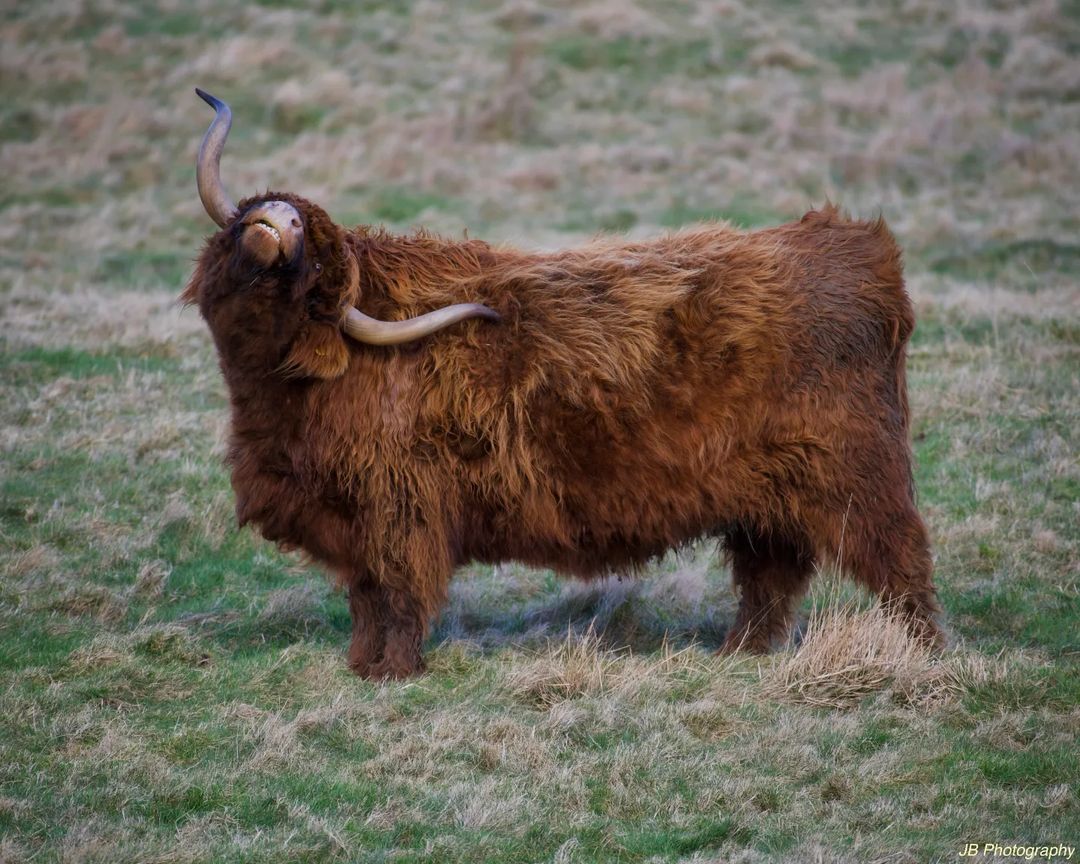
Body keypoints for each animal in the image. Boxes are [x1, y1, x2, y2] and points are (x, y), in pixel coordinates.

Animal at [181, 89, 941, 682]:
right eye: (267, 207)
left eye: (314, 265)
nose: (282, 219)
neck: (283, 396)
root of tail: (862, 252)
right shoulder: (355, 520)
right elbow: (366, 599)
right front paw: (361, 664)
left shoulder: (398, 509)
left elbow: (397, 596)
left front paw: (391, 671)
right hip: (766, 500)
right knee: (771, 577)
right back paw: (738, 655)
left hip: (859, 480)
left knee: (900, 560)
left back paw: (922, 654)